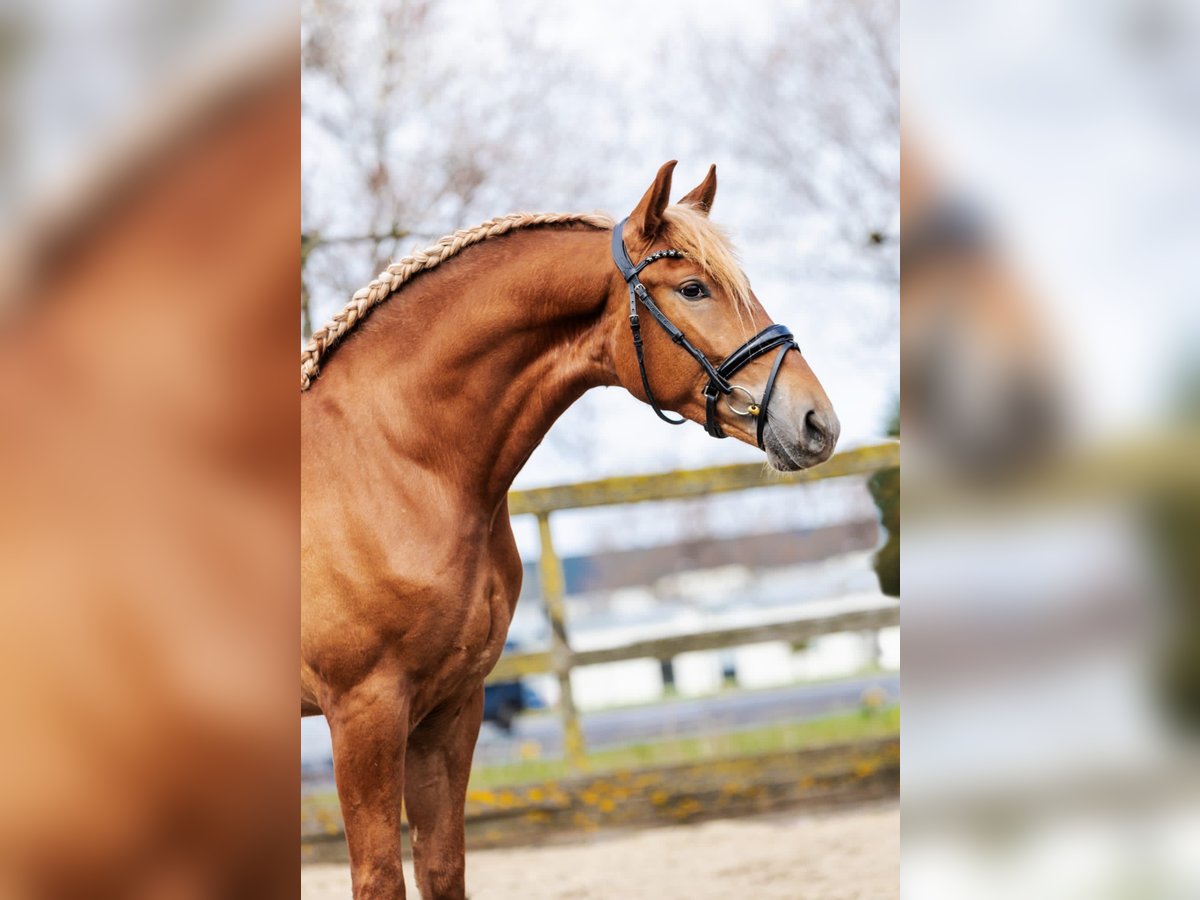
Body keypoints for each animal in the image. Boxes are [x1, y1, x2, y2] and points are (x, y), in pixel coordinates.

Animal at [297, 164, 835, 900]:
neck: (393, 460)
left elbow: (443, 865)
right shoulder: (364, 710)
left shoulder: (452, 704)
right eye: (693, 288)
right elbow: (379, 879)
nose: (816, 421)